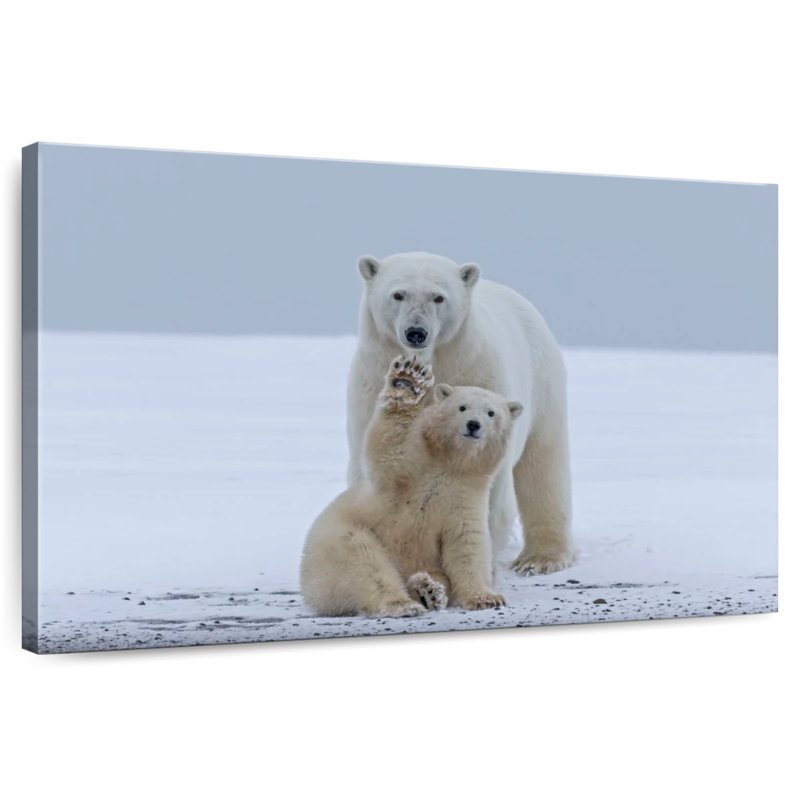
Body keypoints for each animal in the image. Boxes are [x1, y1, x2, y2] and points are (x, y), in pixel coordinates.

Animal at [300, 354, 522, 617]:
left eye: (491, 413)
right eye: (462, 407)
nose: (473, 425)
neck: (449, 464)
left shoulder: (466, 496)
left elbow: (467, 544)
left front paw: (486, 598)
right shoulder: (410, 470)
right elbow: (388, 449)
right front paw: (408, 381)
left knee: (433, 574)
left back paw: (429, 591)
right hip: (339, 538)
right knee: (363, 563)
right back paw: (402, 602)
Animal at [346, 251, 574, 576]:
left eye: (439, 297)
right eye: (398, 294)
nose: (416, 332)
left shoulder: (477, 373)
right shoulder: (371, 383)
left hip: (543, 384)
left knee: (543, 465)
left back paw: (541, 558)